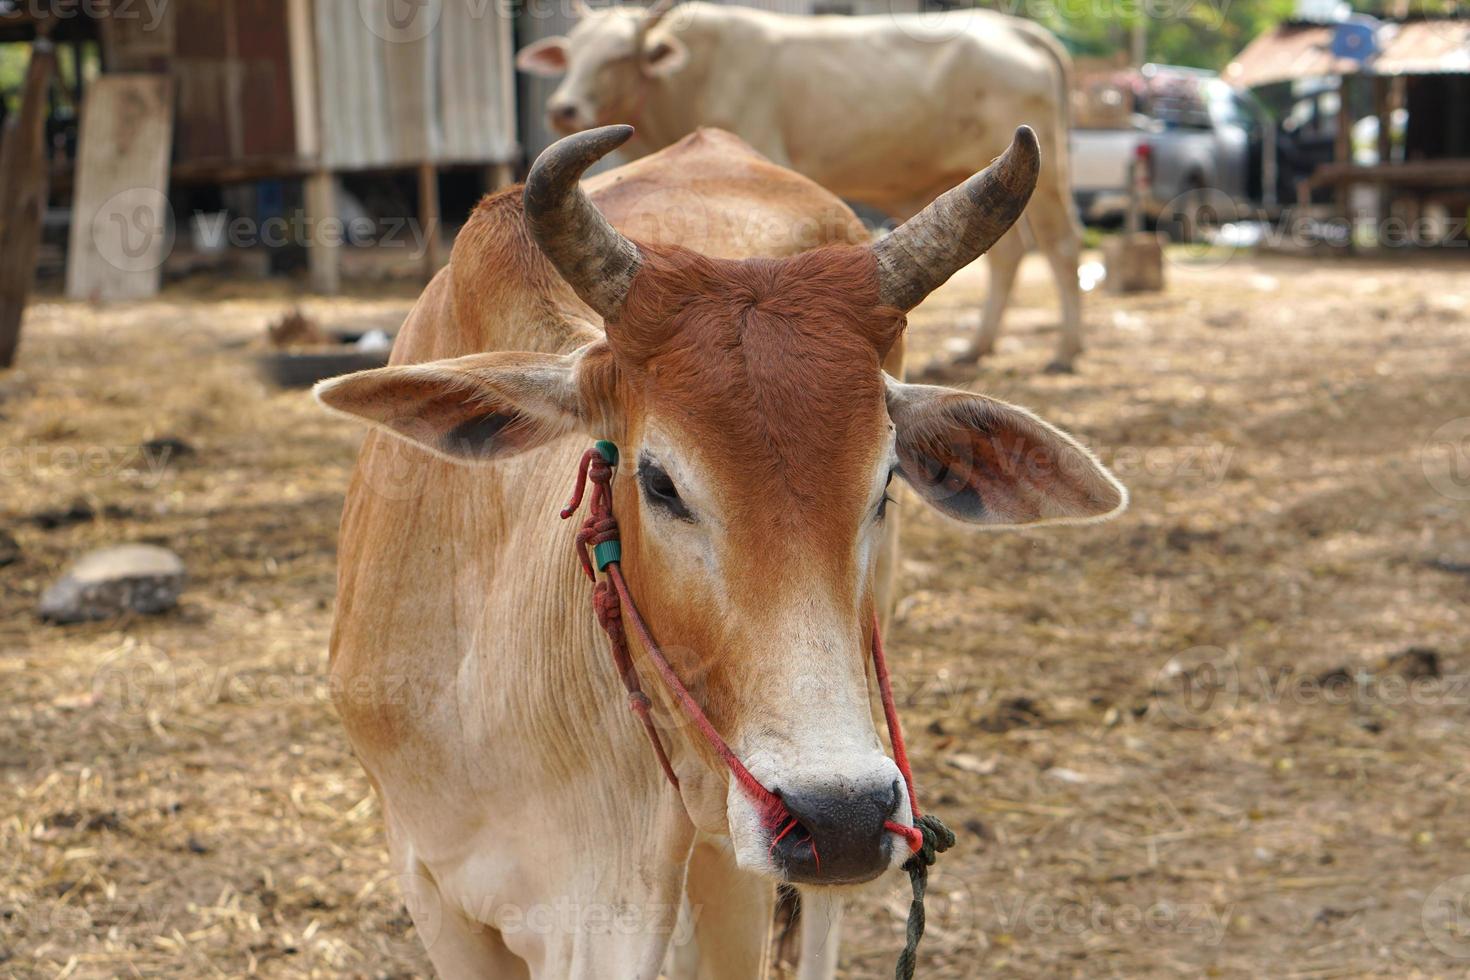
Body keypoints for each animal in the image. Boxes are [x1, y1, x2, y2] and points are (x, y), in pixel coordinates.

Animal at [523, 0, 1087, 373]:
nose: (563, 109)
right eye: (572, 53)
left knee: (1061, 247)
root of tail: (1017, 27)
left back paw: (1064, 352)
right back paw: (975, 348)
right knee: (1008, 254)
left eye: (619, 54)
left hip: (1048, 176)